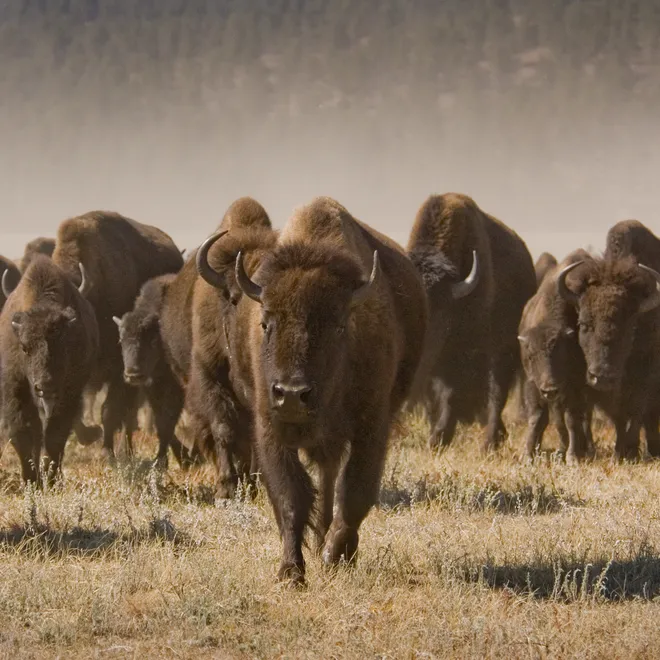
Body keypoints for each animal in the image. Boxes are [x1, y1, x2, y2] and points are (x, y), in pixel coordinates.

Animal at [0, 256, 98, 483]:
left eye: (64, 344)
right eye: (24, 347)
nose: (45, 386)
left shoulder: (70, 392)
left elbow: (56, 434)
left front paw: (51, 479)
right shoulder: (14, 388)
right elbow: (23, 433)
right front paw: (31, 480)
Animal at [197, 196, 427, 585]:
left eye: (338, 324)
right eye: (266, 322)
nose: (291, 394)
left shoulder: (372, 426)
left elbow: (354, 491)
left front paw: (336, 554)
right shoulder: (270, 427)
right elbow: (290, 496)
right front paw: (291, 571)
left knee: (332, 477)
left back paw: (327, 542)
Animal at [407, 193, 536, 452]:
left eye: (441, 317)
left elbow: (451, 393)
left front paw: (438, 437)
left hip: (504, 352)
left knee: (497, 394)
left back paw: (490, 441)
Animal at [518, 249, 595, 462]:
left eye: (560, 352)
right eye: (531, 356)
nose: (550, 389)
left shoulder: (574, 386)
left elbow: (571, 419)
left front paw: (572, 457)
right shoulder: (532, 383)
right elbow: (537, 418)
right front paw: (527, 456)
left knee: (583, 417)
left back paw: (586, 449)